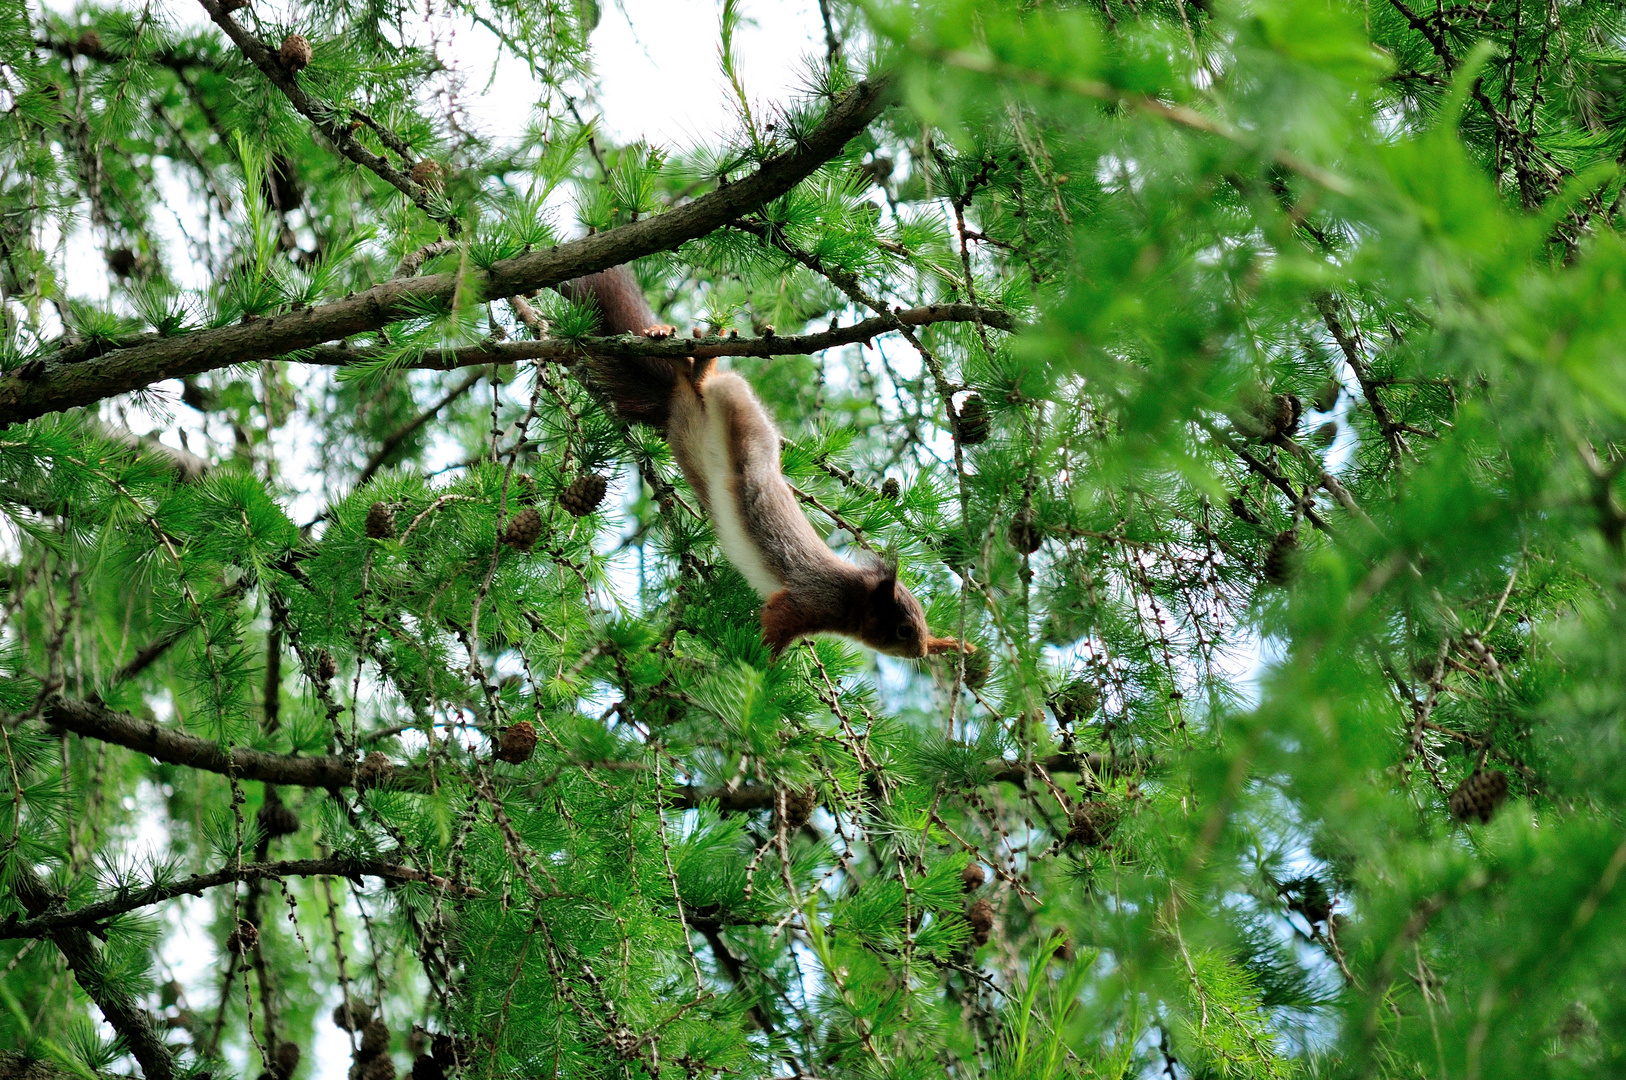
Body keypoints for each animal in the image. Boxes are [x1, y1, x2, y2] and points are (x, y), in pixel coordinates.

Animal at [559, 265, 962, 663]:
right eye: (904, 628)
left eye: (922, 625)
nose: (922, 650)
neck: (852, 593)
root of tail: (675, 404)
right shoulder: (811, 598)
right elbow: (777, 620)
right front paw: (761, 663)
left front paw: (951, 644)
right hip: (742, 414)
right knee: (712, 386)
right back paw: (700, 362)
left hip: (691, 442)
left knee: (689, 390)